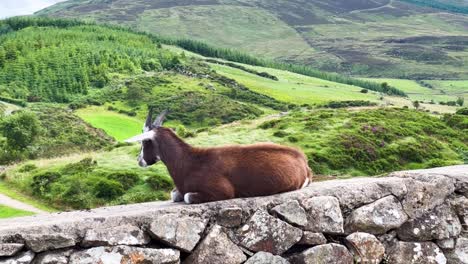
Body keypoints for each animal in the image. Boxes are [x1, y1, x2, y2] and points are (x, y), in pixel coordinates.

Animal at [126, 110, 312, 204]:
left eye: (144, 142)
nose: (139, 161)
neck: (190, 161)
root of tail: (302, 159)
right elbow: (175, 194)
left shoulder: (222, 191)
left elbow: (187, 197)